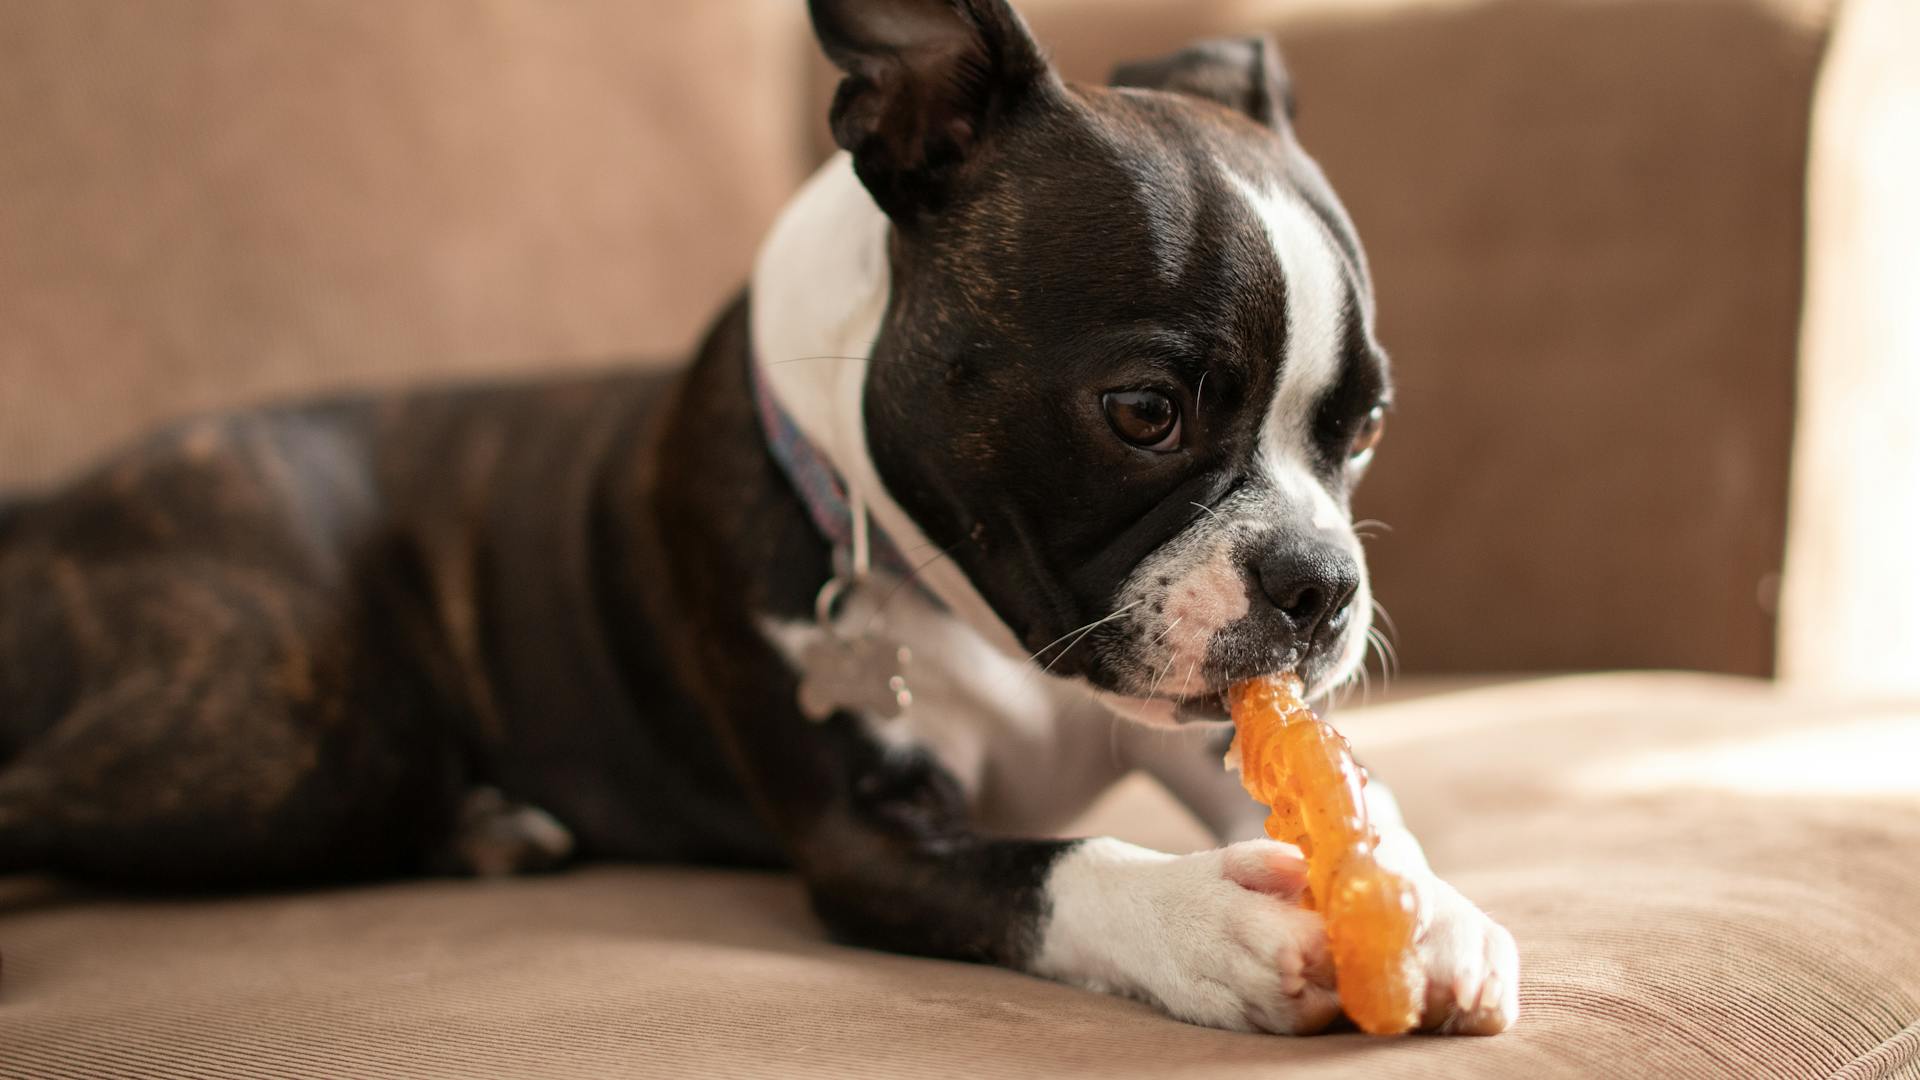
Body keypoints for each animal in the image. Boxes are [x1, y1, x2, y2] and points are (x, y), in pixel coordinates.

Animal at [0, 0, 1520, 1030]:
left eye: (1364, 430)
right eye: (1144, 411)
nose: (1320, 583)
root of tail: (65, 497)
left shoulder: (1222, 722)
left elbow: (1352, 795)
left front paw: (1429, 903)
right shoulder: (866, 842)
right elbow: (1055, 866)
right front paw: (1205, 921)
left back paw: (487, 827)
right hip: (285, 742)